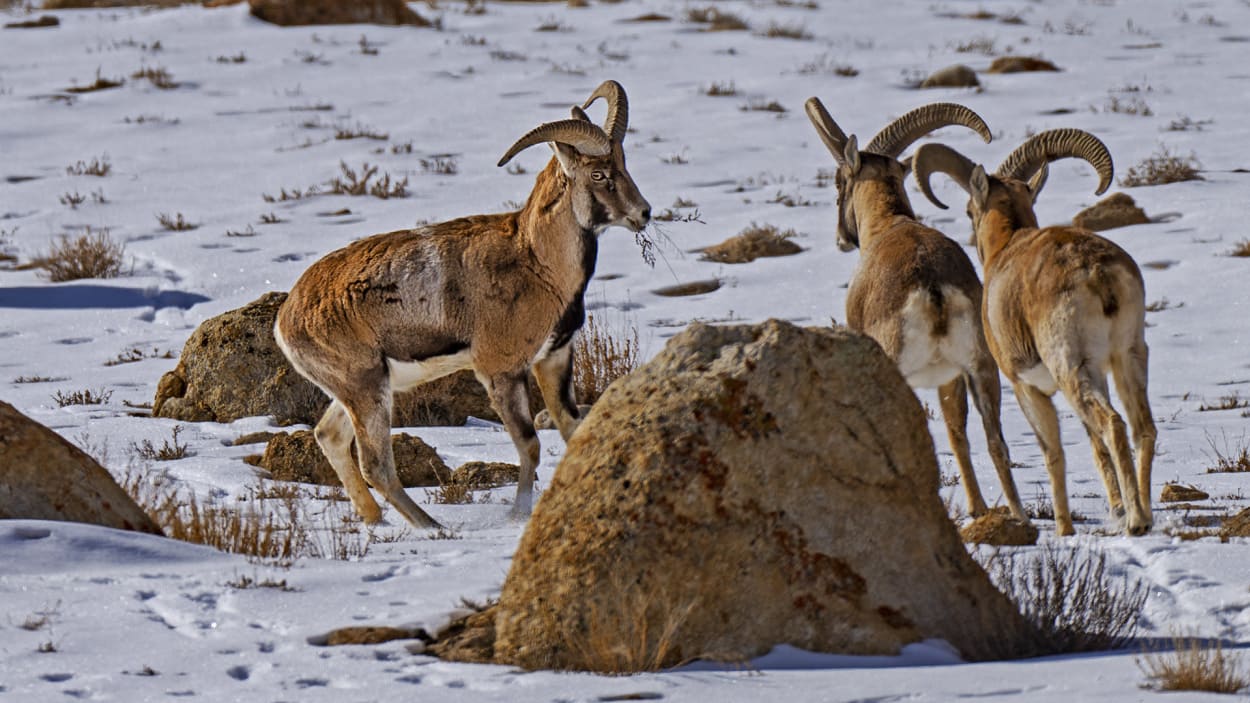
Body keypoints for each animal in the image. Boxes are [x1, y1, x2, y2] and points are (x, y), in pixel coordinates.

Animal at [275, 80, 655, 525]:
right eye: (598, 173)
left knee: (330, 437)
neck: (536, 261)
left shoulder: (554, 359)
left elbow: (572, 430)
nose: (643, 213)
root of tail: (288, 318)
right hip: (368, 390)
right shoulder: (501, 370)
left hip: (355, 391)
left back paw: (377, 521)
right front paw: (518, 515)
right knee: (376, 464)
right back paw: (432, 527)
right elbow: (529, 445)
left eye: (623, 163)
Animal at [805, 100, 1030, 525]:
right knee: (996, 441)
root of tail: (933, 287)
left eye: (840, 184)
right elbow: (958, 433)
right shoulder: (951, 376)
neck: (888, 224)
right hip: (982, 369)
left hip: (899, 368)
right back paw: (1019, 517)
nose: (842, 238)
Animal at [915, 126, 1155, 530]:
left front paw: (1063, 529)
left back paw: (1136, 522)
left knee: (1113, 424)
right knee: (1141, 428)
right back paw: (1146, 516)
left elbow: (1053, 453)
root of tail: (1097, 272)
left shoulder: (1024, 386)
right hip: (1127, 358)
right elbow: (1093, 448)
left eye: (968, 210)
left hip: (1071, 369)